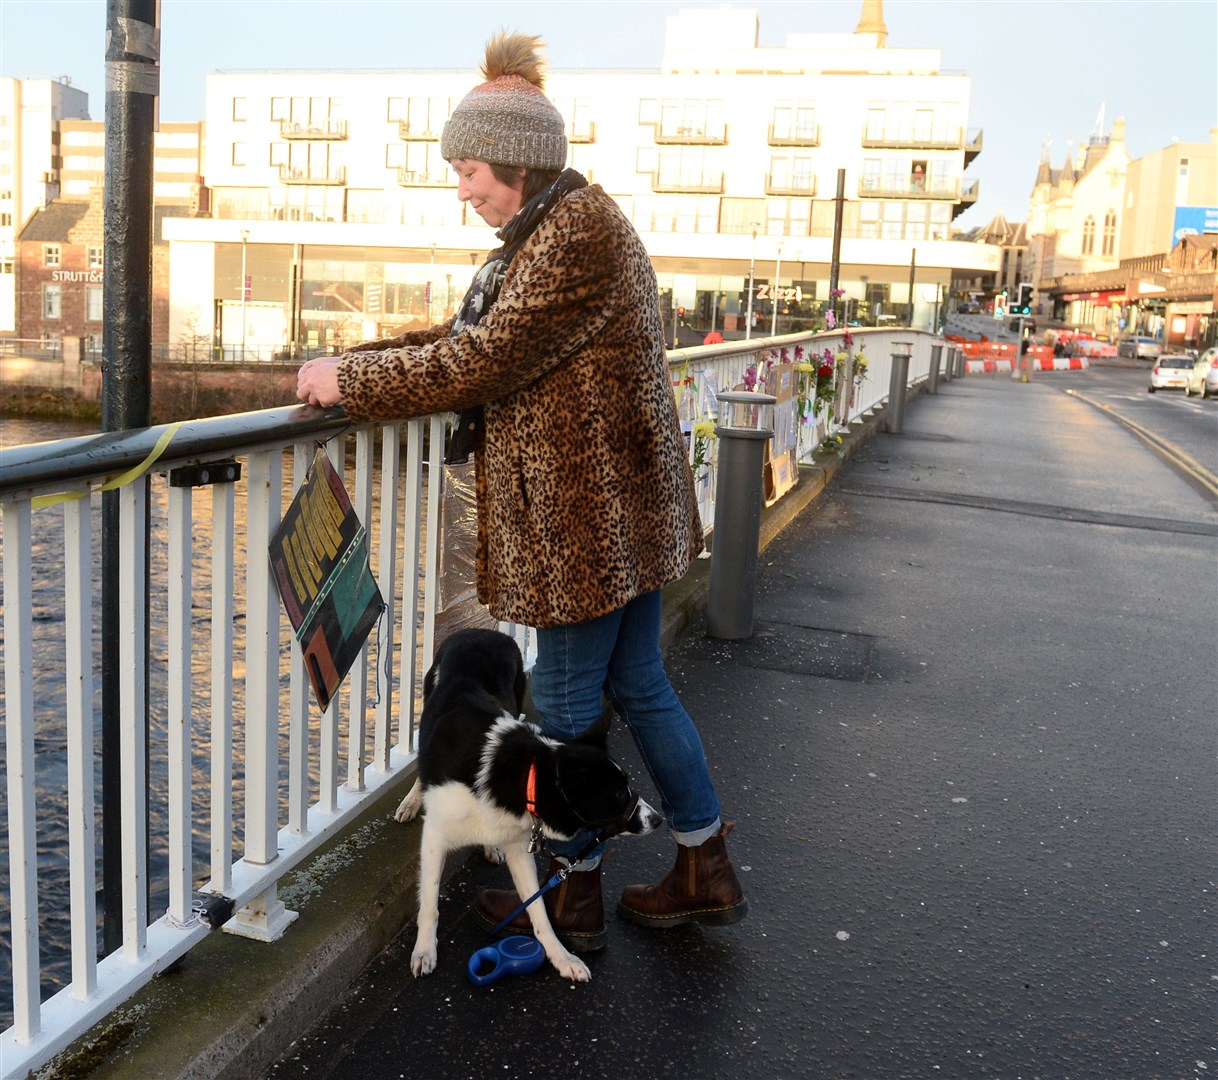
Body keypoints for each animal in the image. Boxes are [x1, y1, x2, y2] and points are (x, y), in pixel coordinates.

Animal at [394, 628, 662, 983]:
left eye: (628, 785)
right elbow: (429, 904)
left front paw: (562, 957)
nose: (657, 819)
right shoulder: (435, 838)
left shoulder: (518, 847)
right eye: (618, 795)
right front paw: (424, 950)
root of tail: (481, 631)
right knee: (421, 764)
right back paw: (413, 800)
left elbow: (539, 910)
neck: (527, 775)